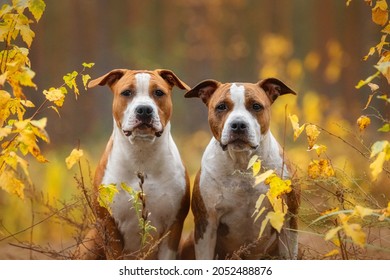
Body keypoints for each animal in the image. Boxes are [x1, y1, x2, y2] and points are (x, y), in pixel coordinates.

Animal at [75, 69, 190, 260]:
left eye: (159, 92)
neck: (141, 156)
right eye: (127, 92)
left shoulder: (173, 225)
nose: (144, 109)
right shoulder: (109, 225)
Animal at [184, 77, 300, 260]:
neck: (243, 164)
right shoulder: (206, 223)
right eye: (221, 106)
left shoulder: (288, 218)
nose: (238, 124)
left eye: (256, 106)